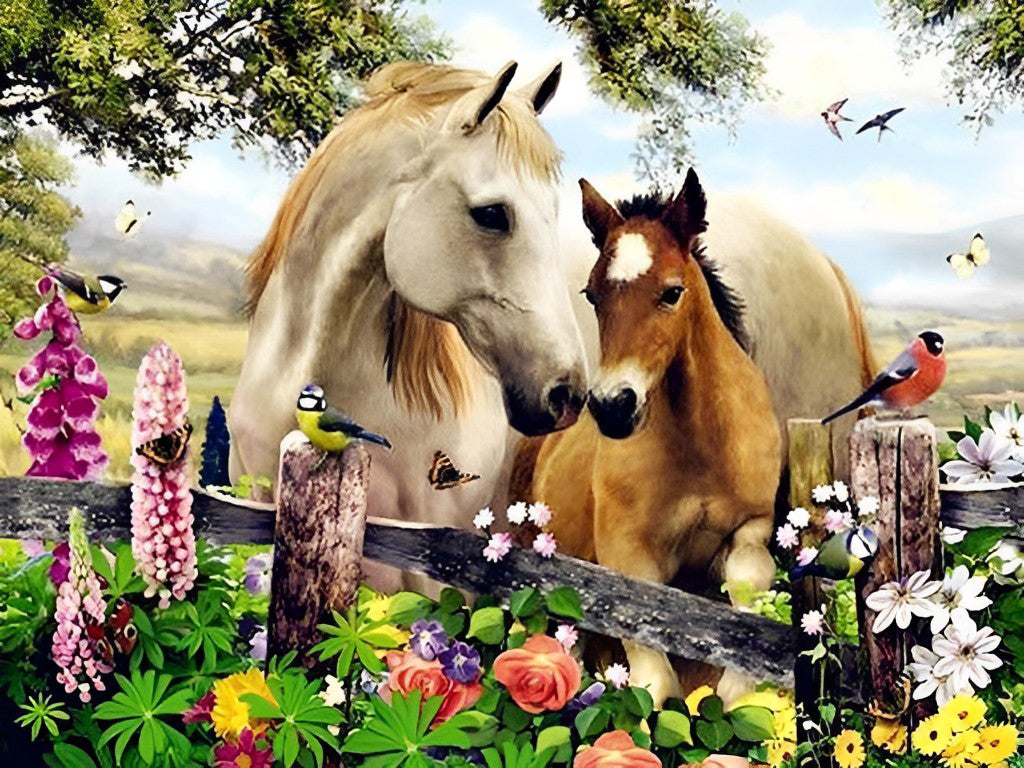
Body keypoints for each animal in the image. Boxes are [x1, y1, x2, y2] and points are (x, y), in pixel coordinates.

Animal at [512, 169, 783, 706]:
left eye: (672, 292)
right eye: (592, 294)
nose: (613, 406)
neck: (703, 450)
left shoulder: (752, 529)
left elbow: (746, 599)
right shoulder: (627, 553)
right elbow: (654, 683)